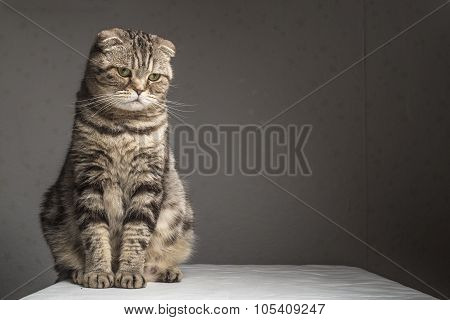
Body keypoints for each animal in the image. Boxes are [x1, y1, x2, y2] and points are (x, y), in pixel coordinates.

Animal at [39, 28, 193, 288]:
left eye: (153, 77)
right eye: (124, 72)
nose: (139, 89)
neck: (125, 127)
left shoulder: (148, 179)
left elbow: (137, 232)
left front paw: (130, 271)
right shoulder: (89, 176)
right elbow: (94, 233)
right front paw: (98, 271)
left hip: (182, 215)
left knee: (158, 259)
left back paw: (165, 271)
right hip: (52, 215)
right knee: (64, 267)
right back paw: (79, 272)